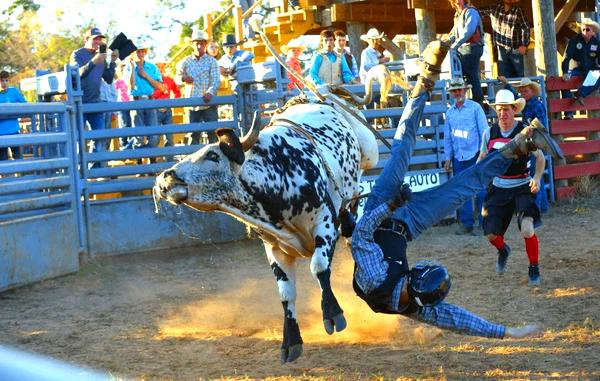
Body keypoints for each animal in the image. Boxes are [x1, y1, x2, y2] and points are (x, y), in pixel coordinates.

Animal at [155, 79, 386, 360]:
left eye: (212, 156)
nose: (165, 177)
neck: (275, 175)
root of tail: (319, 94)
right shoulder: (275, 247)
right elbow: (286, 293)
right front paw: (291, 341)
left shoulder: (325, 222)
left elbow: (319, 267)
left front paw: (333, 314)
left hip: (367, 155)